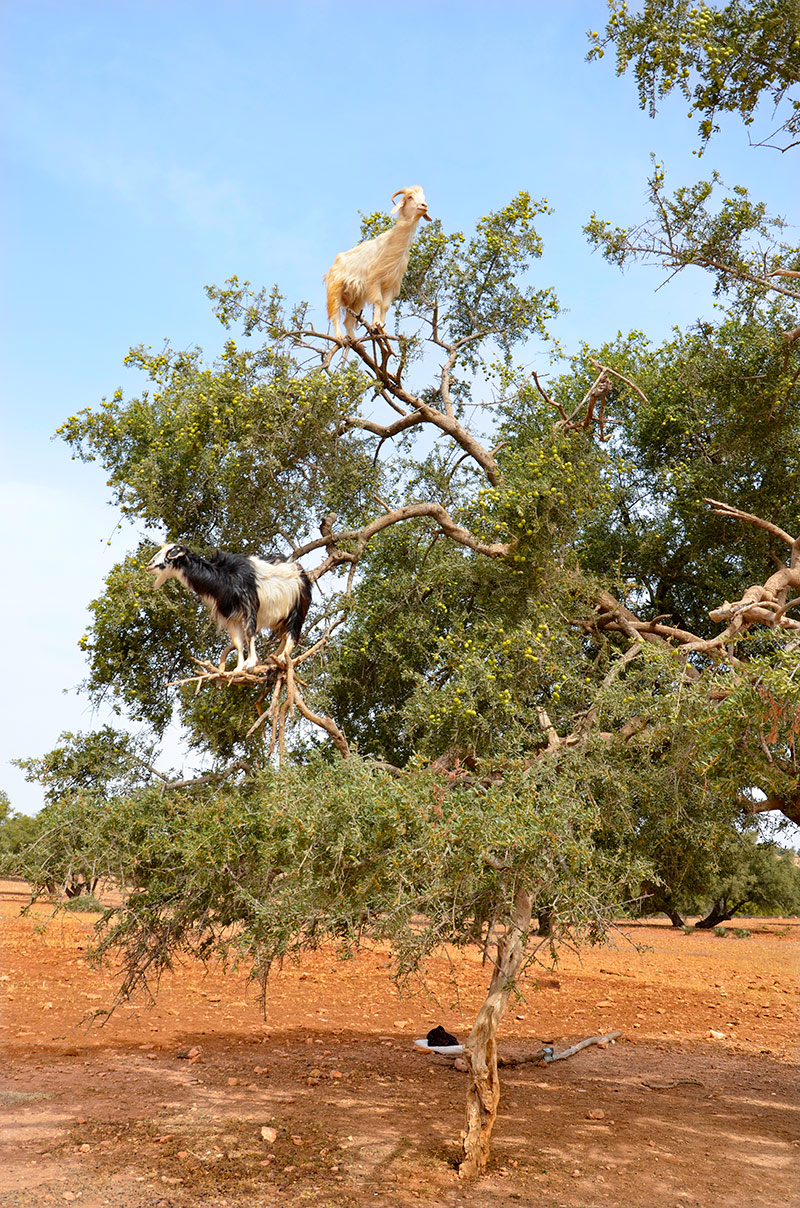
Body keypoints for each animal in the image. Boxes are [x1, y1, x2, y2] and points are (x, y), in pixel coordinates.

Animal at [147, 543, 311, 672]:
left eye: (170, 553)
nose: (149, 565)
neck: (225, 576)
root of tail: (300, 571)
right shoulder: (231, 615)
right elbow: (238, 641)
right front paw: (238, 668)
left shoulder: (249, 604)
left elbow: (249, 633)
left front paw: (250, 663)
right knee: (284, 635)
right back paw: (273, 658)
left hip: (297, 608)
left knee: (292, 634)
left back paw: (283, 658)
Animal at [324, 186, 432, 341]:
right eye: (410, 197)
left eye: (423, 198)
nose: (424, 206)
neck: (391, 242)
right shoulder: (375, 280)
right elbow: (378, 301)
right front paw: (376, 325)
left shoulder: (391, 284)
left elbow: (386, 305)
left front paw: (383, 329)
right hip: (335, 288)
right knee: (335, 314)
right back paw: (339, 336)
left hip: (356, 298)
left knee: (348, 321)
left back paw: (355, 341)